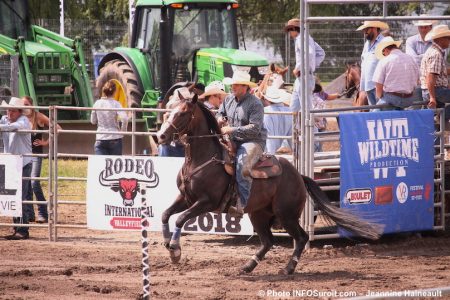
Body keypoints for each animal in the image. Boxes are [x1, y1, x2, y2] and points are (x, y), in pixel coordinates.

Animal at [156, 94, 382, 274]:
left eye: (182, 113)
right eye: (169, 111)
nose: (160, 136)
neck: (202, 159)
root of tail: (299, 175)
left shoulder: (206, 202)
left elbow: (180, 219)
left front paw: (175, 251)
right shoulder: (186, 198)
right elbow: (166, 214)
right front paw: (167, 243)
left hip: (286, 214)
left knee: (301, 238)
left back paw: (288, 268)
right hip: (259, 213)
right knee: (268, 241)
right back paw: (248, 266)